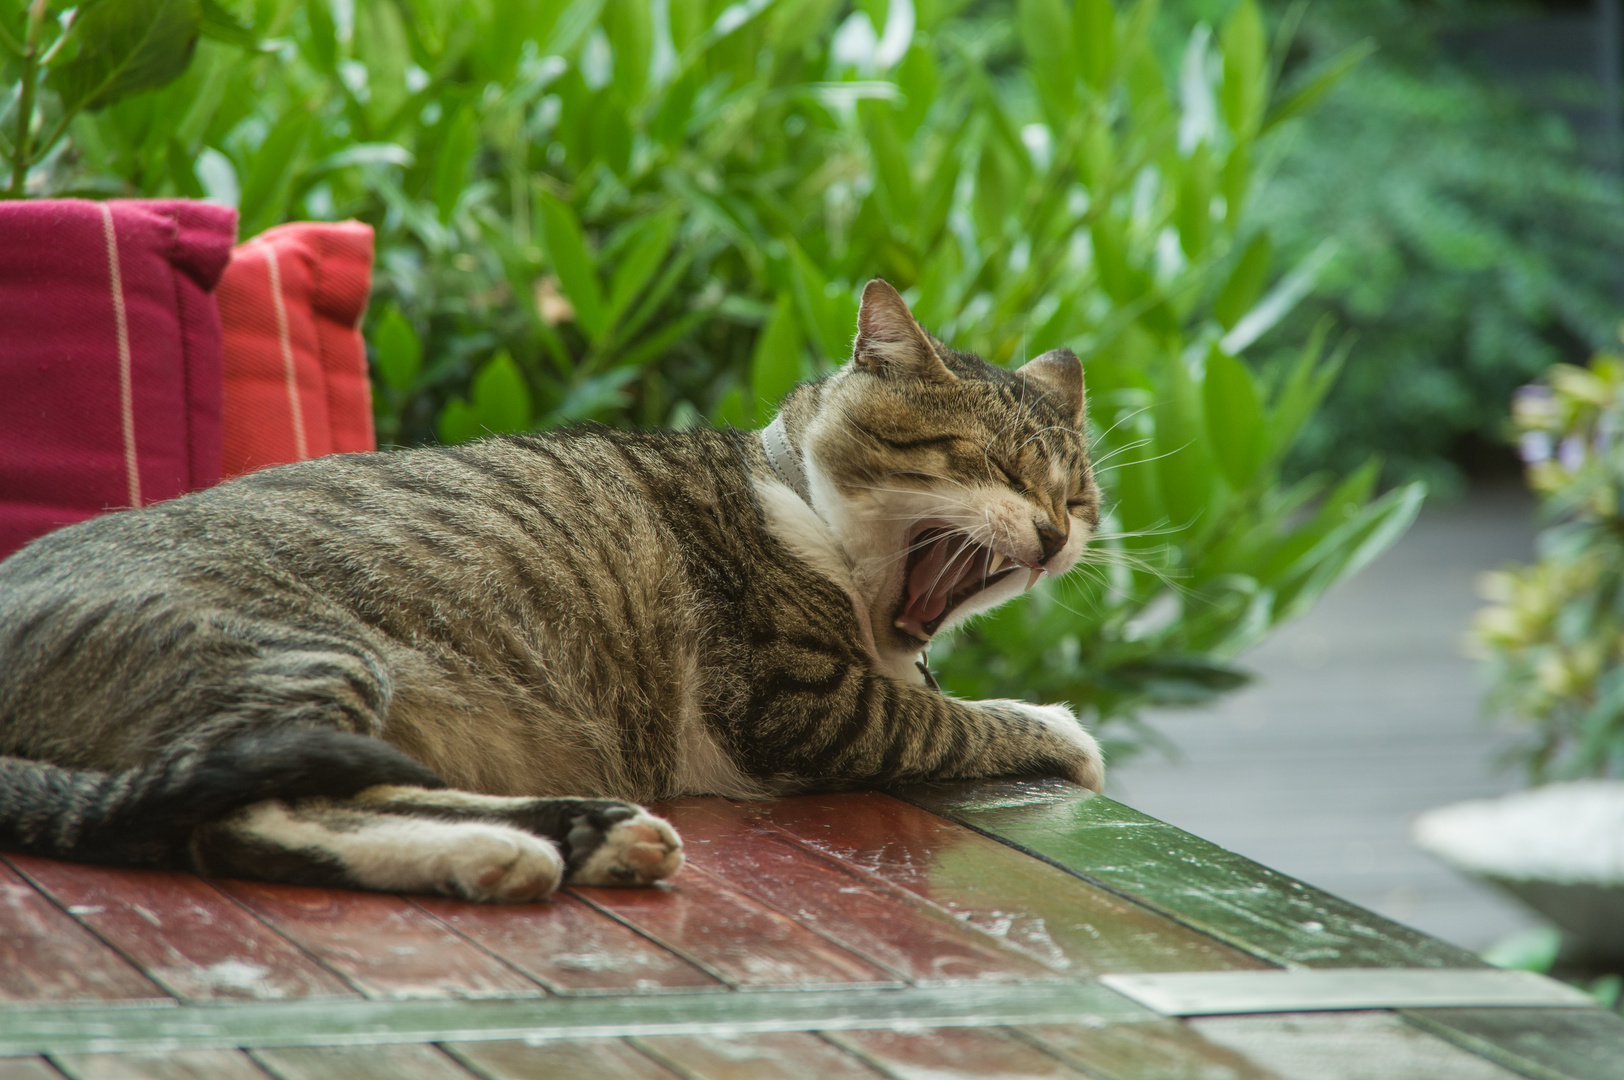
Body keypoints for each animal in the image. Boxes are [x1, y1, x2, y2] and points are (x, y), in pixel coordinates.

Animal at [0, 279, 1104, 902]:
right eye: (992, 465)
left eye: (1076, 495)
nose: (1055, 535)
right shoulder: (804, 709)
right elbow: (954, 718)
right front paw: (1058, 727)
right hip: (302, 653)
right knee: (246, 813)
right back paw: (503, 855)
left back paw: (592, 835)